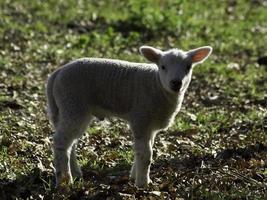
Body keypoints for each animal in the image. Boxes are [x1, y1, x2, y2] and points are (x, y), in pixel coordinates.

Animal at [46, 45, 214, 188]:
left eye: (188, 67)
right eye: (163, 67)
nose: (176, 83)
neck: (157, 85)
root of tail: (57, 73)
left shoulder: (150, 125)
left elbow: (142, 151)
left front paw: (135, 176)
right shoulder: (141, 118)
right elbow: (146, 154)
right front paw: (143, 184)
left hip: (72, 110)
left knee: (71, 142)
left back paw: (75, 173)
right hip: (72, 104)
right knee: (61, 142)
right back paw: (64, 181)